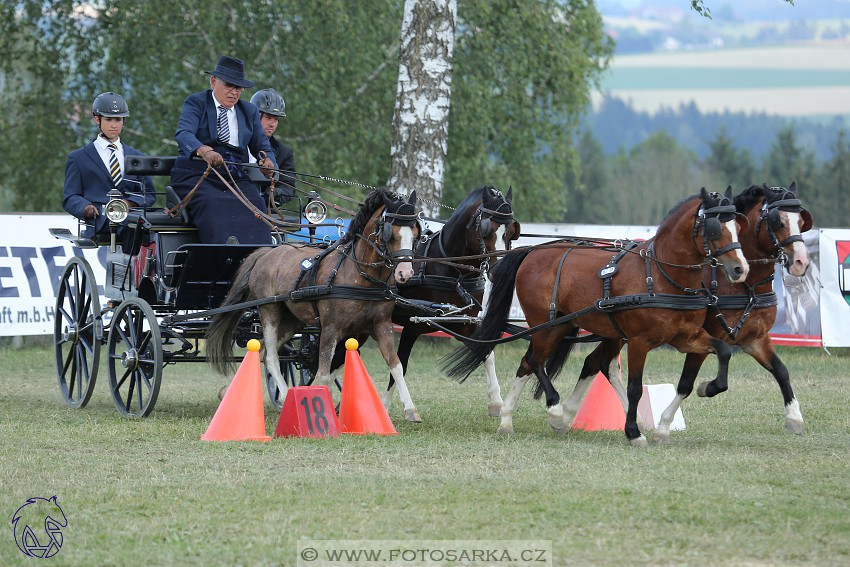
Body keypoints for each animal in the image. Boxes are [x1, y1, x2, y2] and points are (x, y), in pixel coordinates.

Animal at [205, 189, 418, 414]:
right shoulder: (331, 329)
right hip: (269, 311)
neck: (361, 276)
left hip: (293, 320)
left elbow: (396, 365)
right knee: (271, 356)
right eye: (390, 233)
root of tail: (266, 253)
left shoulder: (380, 325)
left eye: (415, 233)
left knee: (262, 350)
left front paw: (410, 409)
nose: (405, 273)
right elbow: (323, 374)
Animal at [444, 189, 748, 446]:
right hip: (544, 324)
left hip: (564, 324)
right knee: (535, 361)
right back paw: (554, 412)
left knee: (533, 362)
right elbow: (635, 388)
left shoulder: (685, 337)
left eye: (738, 227)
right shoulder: (639, 341)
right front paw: (633, 433)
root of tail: (533, 250)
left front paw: (710, 387)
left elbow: (721, 351)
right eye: (714, 227)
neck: (661, 276)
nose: (740, 269)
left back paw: (508, 419)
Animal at [560, 182, 812, 444]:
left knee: (595, 363)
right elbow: (686, 383)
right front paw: (669, 422)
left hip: (616, 331)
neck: (745, 286)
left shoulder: (755, 339)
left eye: (802, 221)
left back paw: (571, 414)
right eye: (777, 221)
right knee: (602, 364)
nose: (801, 262)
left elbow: (781, 370)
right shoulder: (705, 336)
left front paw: (794, 417)